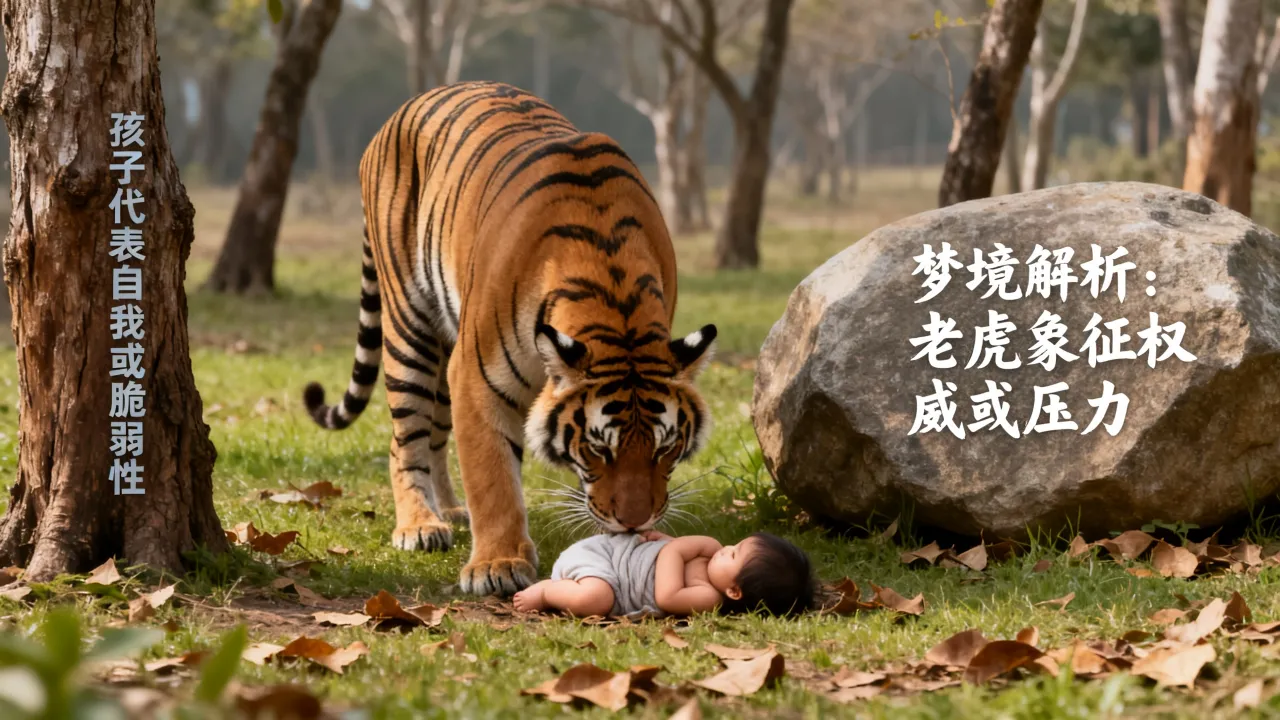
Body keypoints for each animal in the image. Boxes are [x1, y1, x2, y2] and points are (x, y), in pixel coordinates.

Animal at [303, 81, 717, 596]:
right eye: (599, 449)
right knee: (406, 437)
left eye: (665, 449)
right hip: (409, 325)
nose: (634, 522)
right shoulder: (477, 376)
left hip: (445, 344)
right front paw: (497, 564)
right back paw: (420, 525)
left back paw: (450, 510)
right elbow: (493, 477)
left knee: (436, 431)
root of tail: (406, 107)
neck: (615, 299)